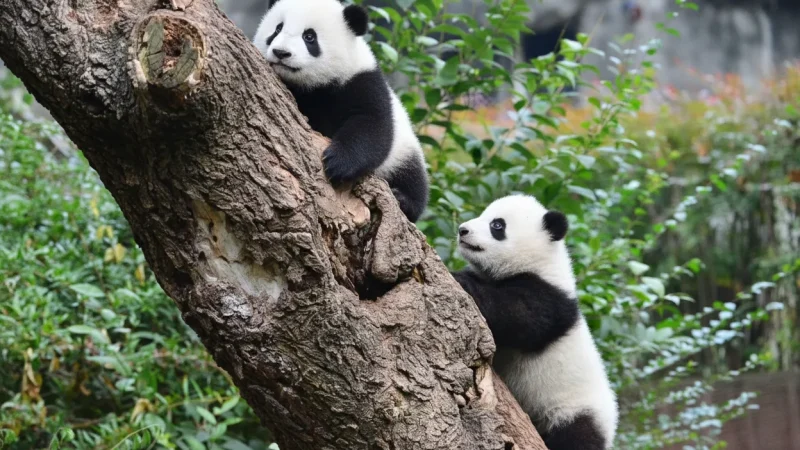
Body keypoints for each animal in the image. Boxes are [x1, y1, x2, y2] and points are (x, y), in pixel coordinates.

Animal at [252, 0, 429, 223]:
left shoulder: (362, 81)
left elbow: (372, 126)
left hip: (404, 151)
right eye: (277, 29)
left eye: (309, 37)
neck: (313, 86)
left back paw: (404, 200)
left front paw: (338, 163)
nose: (281, 53)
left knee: (413, 178)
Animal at [451, 195, 618, 450]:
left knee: (576, 436)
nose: (462, 230)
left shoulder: (549, 299)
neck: (540, 262)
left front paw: (461, 279)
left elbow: (517, 315)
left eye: (497, 225)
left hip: (574, 410)